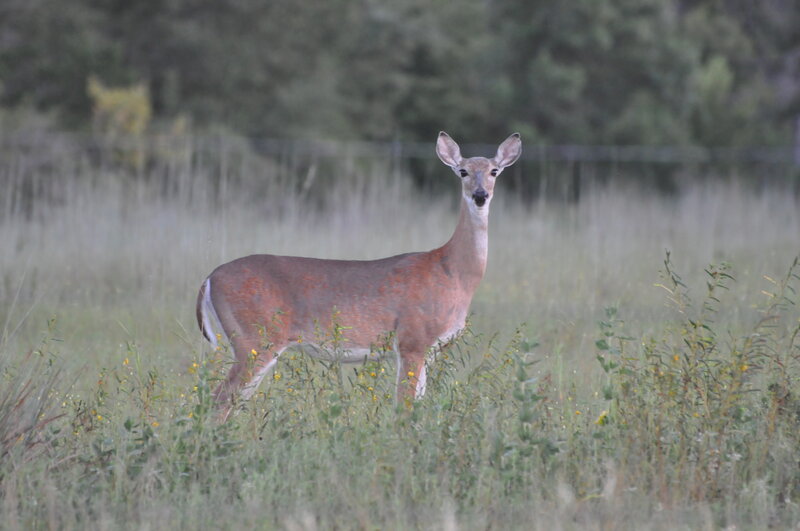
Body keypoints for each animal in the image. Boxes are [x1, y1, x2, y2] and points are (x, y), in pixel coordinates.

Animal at [196, 132, 522, 421]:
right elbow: (404, 409)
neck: (452, 271)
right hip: (255, 339)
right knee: (220, 399)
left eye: (494, 171)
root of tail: (209, 278)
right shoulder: (412, 340)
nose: (480, 195)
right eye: (463, 171)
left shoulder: (426, 350)